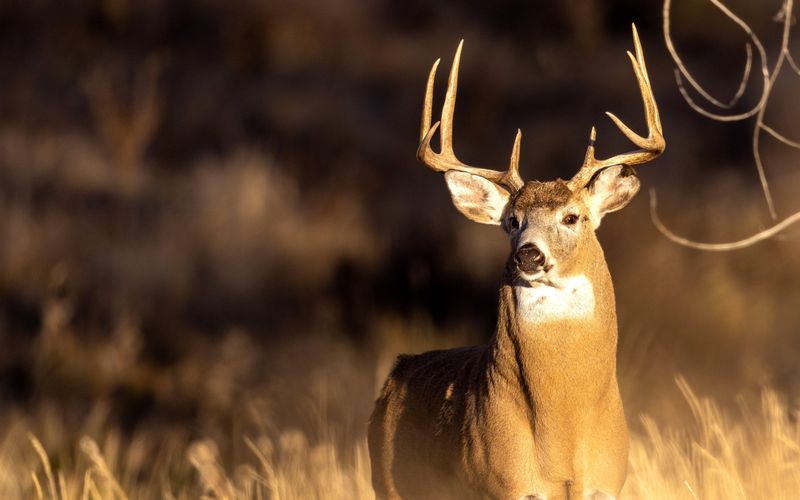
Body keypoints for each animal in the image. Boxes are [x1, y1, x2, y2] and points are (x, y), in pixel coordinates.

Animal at [368, 24, 664, 500]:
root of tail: (395, 375)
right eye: (511, 221)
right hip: (388, 484)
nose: (529, 253)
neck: (564, 433)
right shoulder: (503, 482)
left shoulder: (605, 482)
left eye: (572, 217)